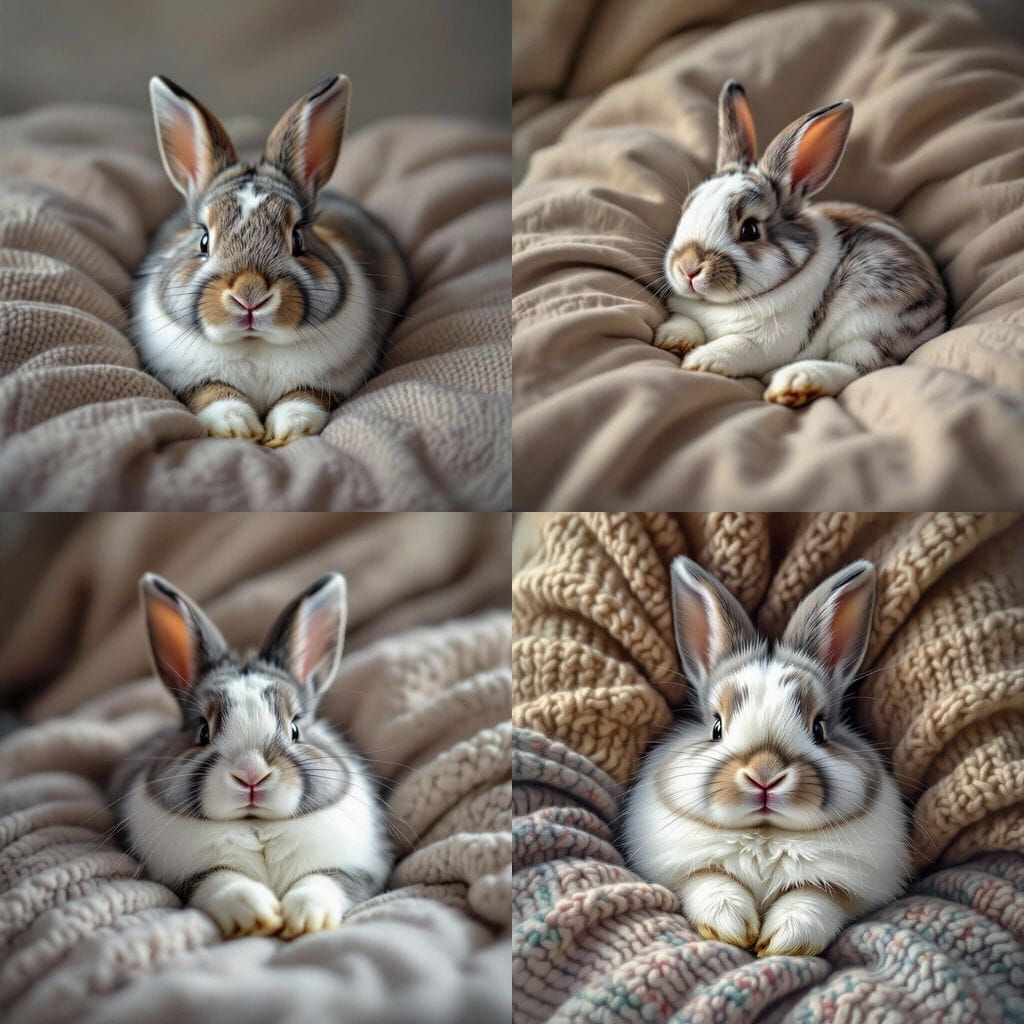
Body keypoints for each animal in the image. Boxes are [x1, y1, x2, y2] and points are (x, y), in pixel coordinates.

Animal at [111, 571, 390, 939]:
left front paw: (306, 921)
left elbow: (322, 882)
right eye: (203, 731)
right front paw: (258, 916)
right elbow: (224, 881)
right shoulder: (186, 877)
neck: (257, 826)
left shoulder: (357, 871)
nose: (251, 775)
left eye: (295, 728)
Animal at [133, 75, 411, 446]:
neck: (255, 345)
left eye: (298, 239)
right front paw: (238, 428)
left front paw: (287, 430)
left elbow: (305, 397)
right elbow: (213, 393)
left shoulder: (330, 384)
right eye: (204, 240)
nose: (249, 296)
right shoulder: (188, 381)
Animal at [624, 557, 909, 958]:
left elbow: (813, 900)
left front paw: (783, 942)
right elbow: (711, 883)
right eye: (716, 727)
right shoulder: (686, 870)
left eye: (819, 729)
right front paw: (731, 928)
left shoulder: (844, 887)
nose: (764, 775)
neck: (764, 835)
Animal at [653, 80, 948, 406]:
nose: (688, 269)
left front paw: (700, 361)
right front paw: (672, 341)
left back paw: (796, 381)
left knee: (858, 367)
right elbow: (684, 321)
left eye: (750, 229)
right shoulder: (686, 311)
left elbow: (736, 347)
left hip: (871, 321)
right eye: (686, 209)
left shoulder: (766, 341)